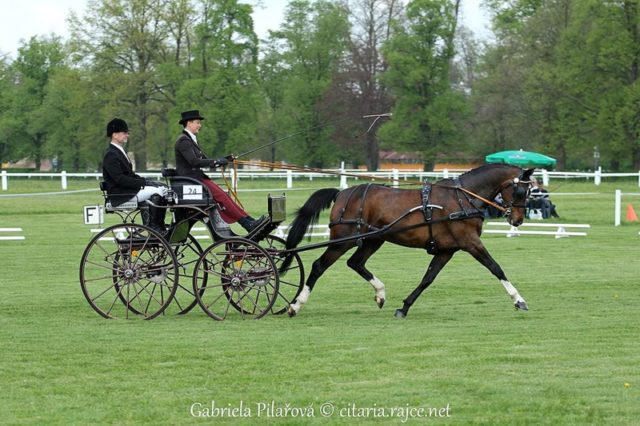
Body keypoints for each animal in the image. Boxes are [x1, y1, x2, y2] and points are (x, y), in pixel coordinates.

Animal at [282, 165, 532, 318]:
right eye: (520, 191)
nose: (518, 220)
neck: (463, 197)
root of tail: (342, 193)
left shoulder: (447, 249)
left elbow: (427, 278)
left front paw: (404, 307)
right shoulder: (470, 242)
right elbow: (495, 268)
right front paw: (519, 300)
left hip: (373, 240)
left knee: (355, 263)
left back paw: (380, 293)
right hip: (343, 240)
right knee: (319, 266)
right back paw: (295, 305)